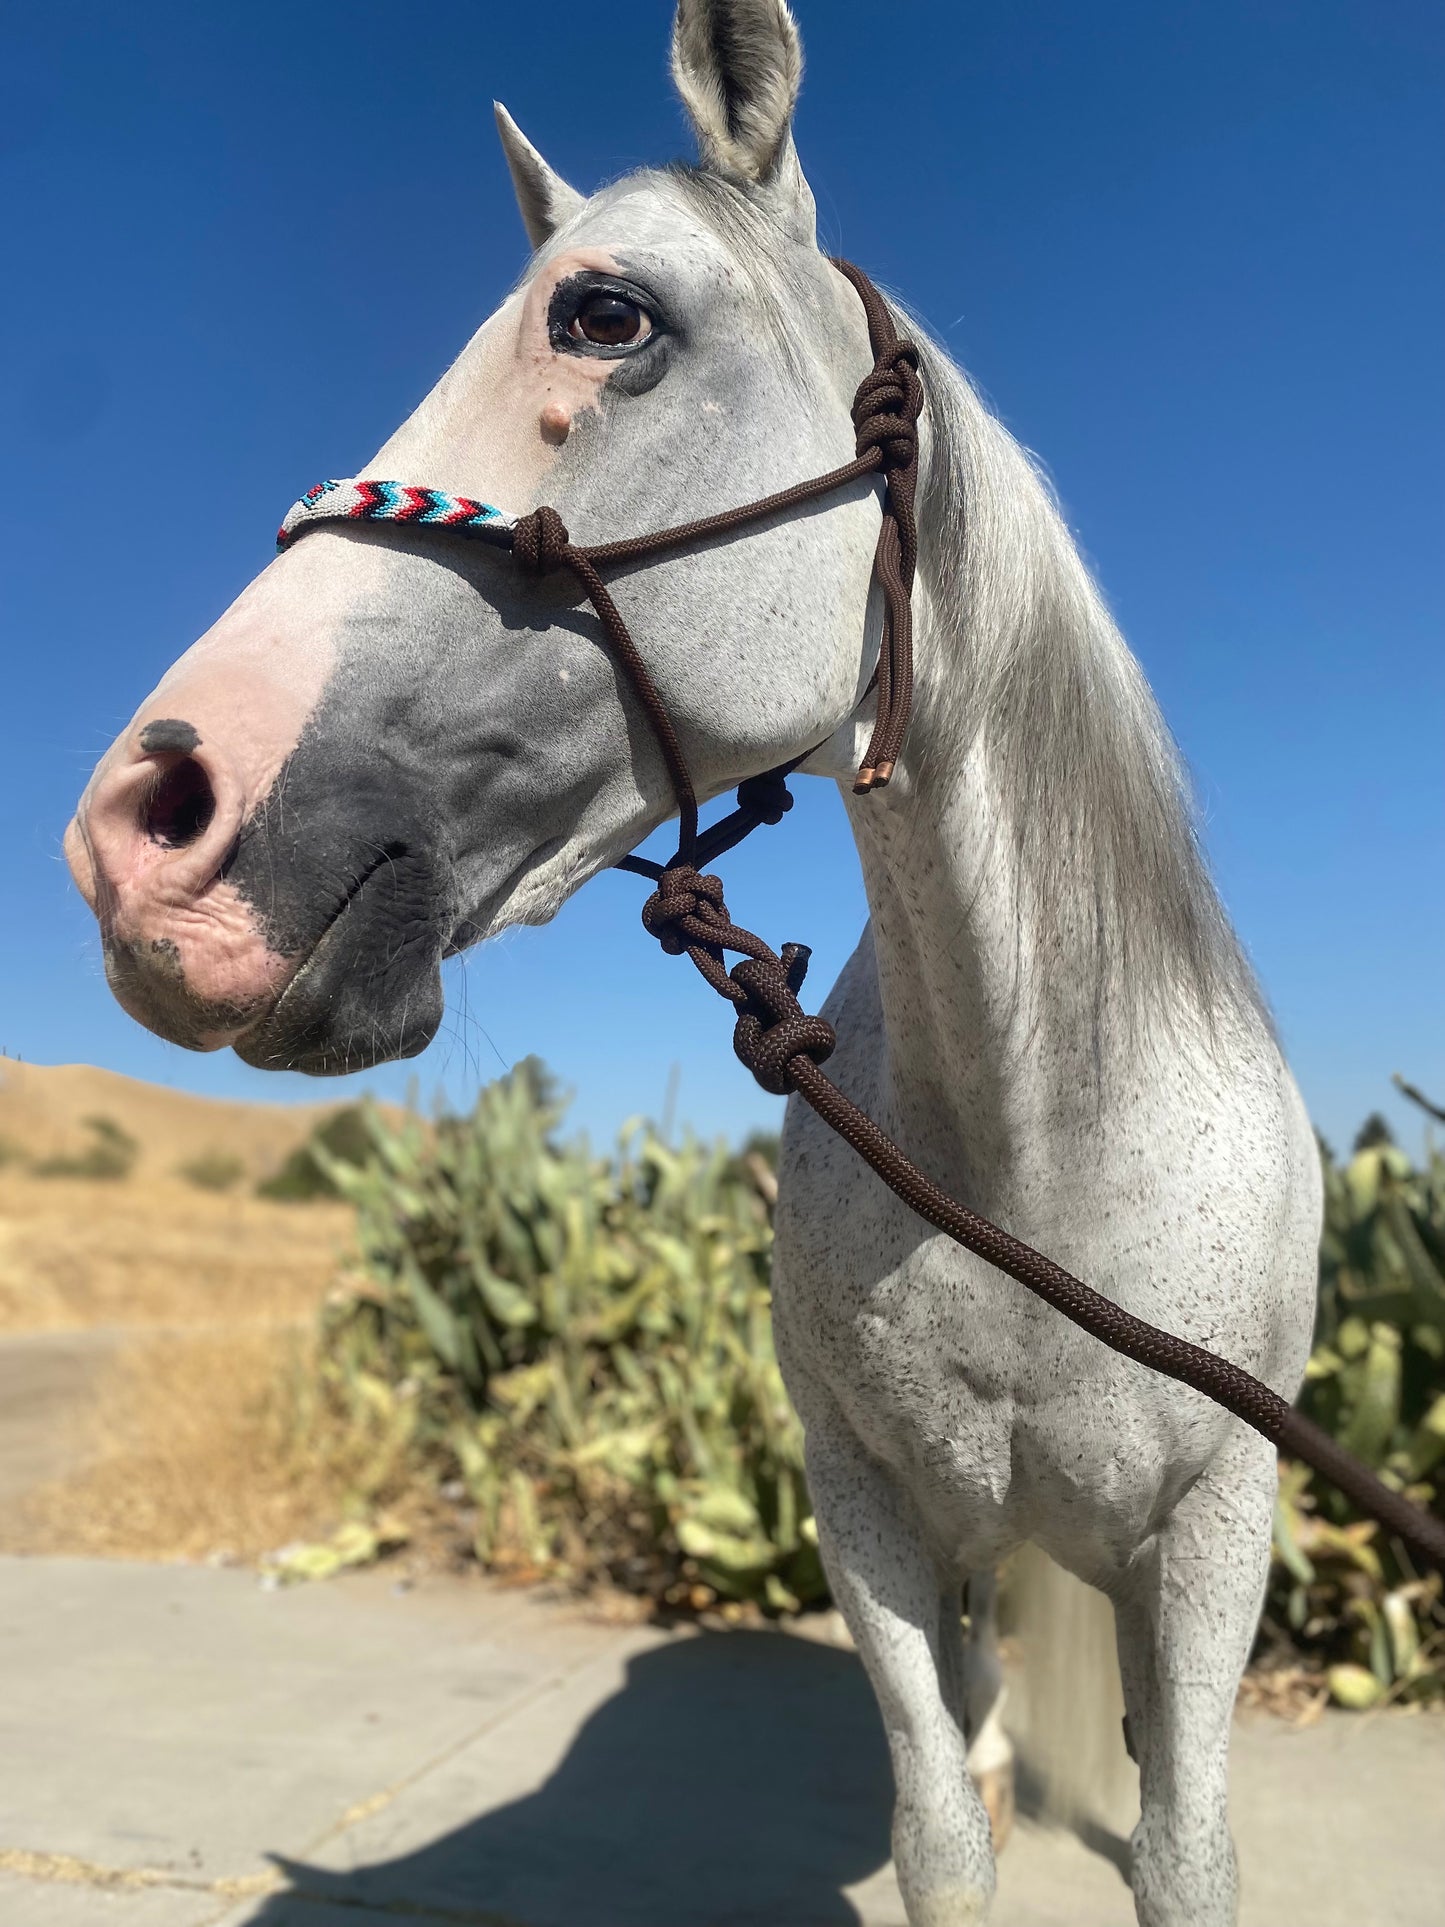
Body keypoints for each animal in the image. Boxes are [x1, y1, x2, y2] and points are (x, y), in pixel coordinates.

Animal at [65, 7, 1325, 1919]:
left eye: (608, 315)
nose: (144, 829)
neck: (1040, 1151)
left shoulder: (1215, 1531)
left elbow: (1185, 1848)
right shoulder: (870, 1512)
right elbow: (940, 1833)